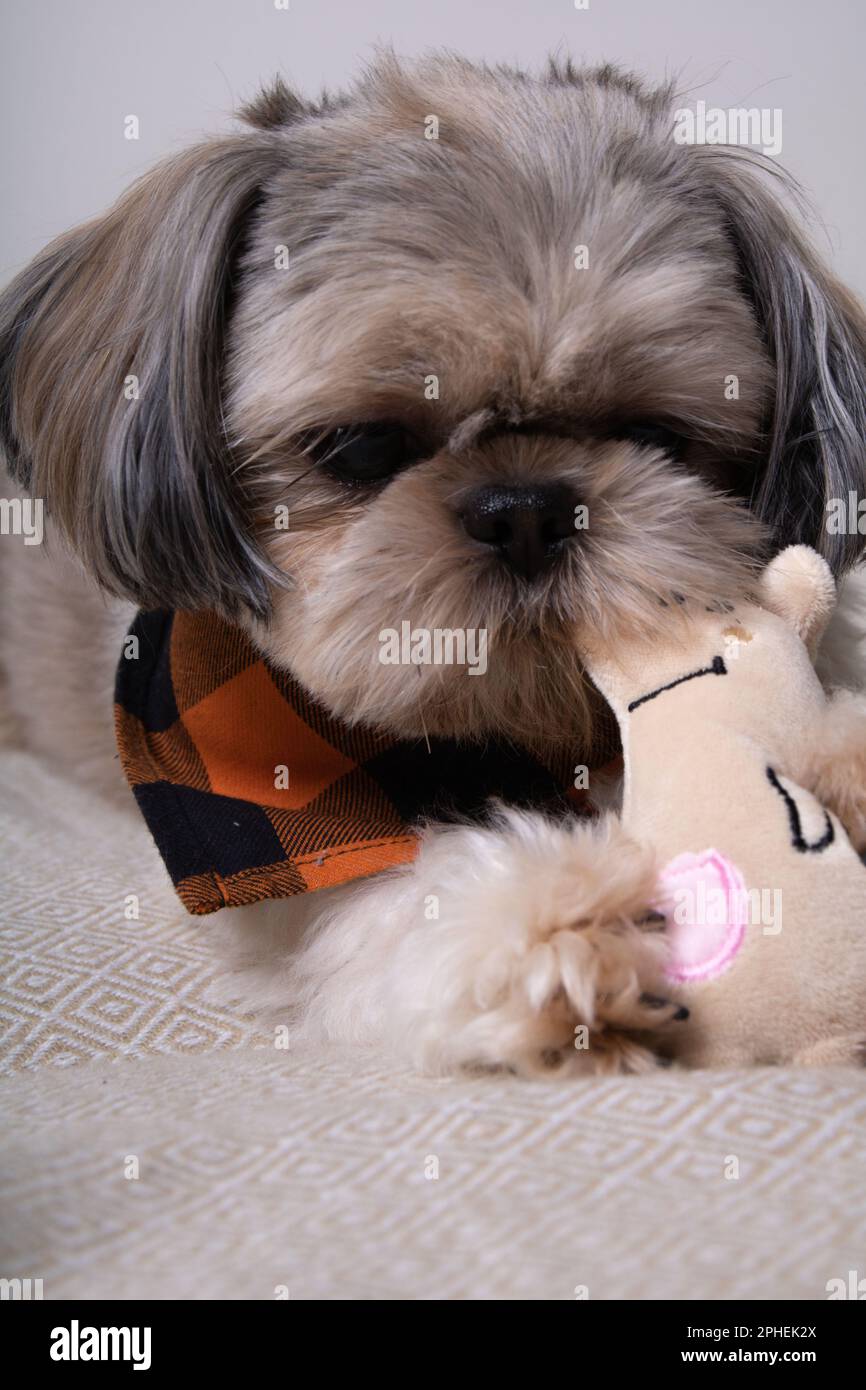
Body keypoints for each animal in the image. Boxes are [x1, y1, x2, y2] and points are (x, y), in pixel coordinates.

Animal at [5, 51, 866, 1073]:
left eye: (655, 435)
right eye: (363, 448)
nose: (528, 509)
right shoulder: (253, 830)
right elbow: (386, 899)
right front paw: (558, 927)